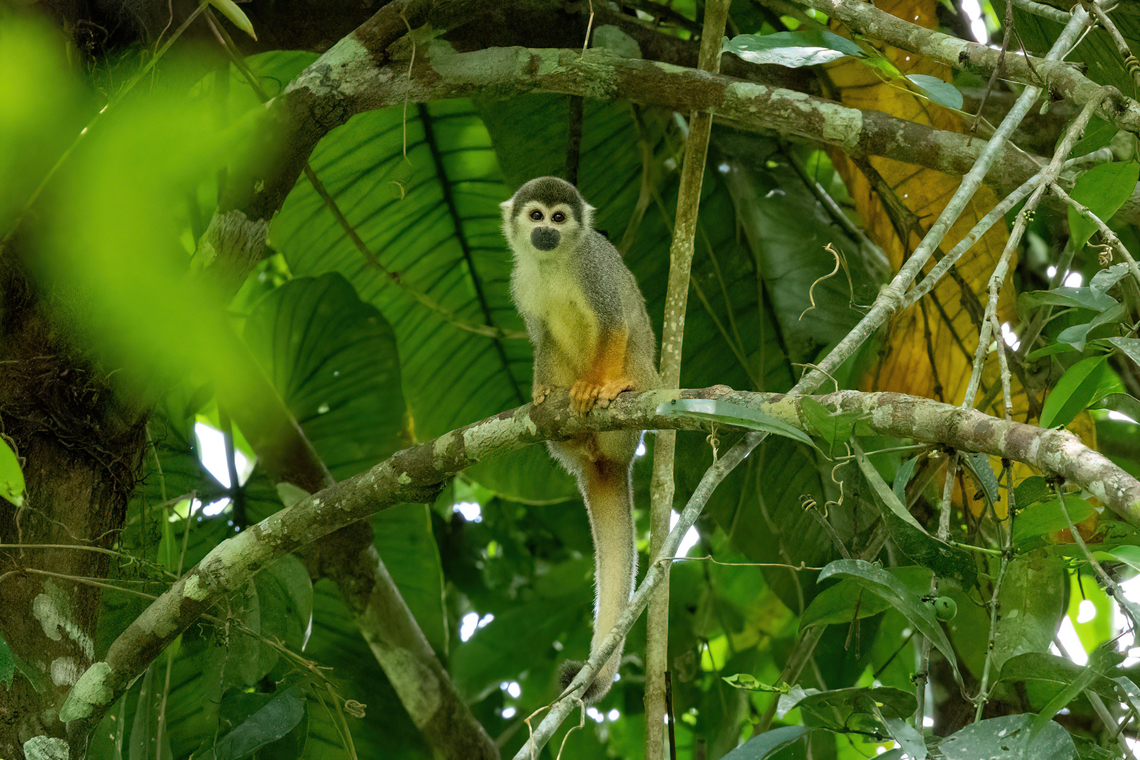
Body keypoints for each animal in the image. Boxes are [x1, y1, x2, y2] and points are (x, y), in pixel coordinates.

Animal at [501, 177, 660, 703]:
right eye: (535, 216)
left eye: (559, 218)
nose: (545, 233)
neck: (555, 261)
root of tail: (607, 460)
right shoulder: (521, 280)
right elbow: (541, 336)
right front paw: (541, 391)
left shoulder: (595, 267)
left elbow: (613, 322)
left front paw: (595, 386)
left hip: (643, 390)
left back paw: (615, 390)